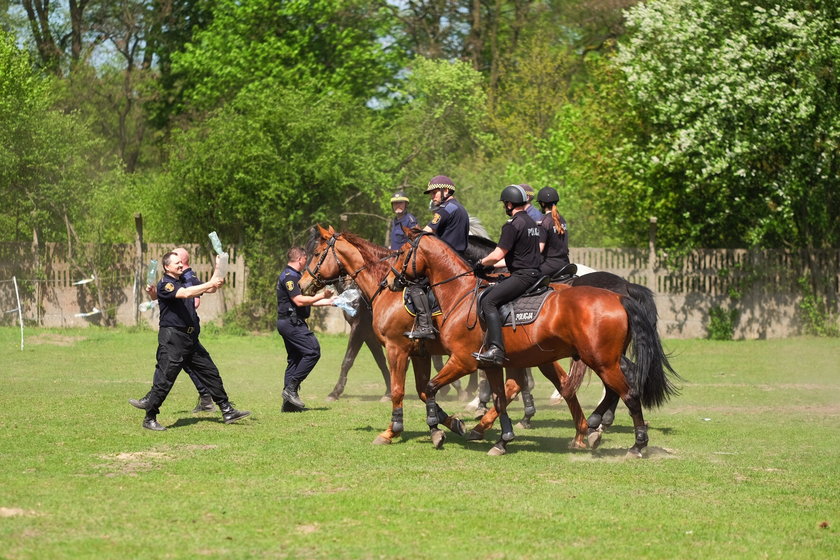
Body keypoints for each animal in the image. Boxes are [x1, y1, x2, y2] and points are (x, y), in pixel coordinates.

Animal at [298, 225, 588, 448]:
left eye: (316, 253)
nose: (302, 284)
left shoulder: (397, 348)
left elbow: (398, 388)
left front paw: (393, 430)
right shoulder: (420, 353)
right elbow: (423, 390)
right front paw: (446, 425)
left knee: (546, 383)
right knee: (545, 383)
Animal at [390, 230, 680, 458]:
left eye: (402, 252)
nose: (391, 280)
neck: (461, 294)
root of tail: (620, 296)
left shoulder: (463, 360)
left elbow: (430, 387)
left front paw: (436, 428)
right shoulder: (492, 363)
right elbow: (500, 398)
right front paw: (501, 440)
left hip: (601, 360)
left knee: (629, 392)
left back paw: (635, 444)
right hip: (604, 358)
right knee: (619, 383)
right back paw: (596, 424)